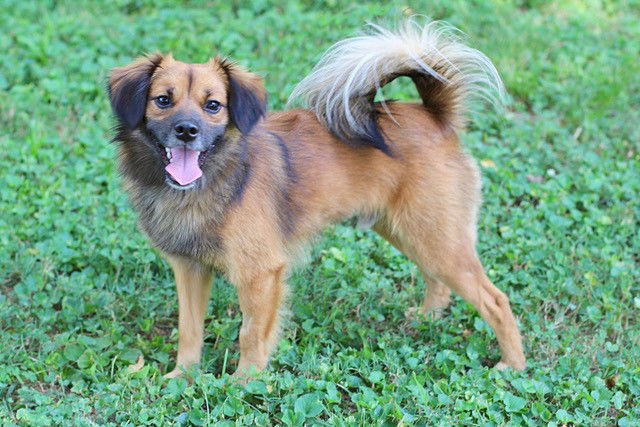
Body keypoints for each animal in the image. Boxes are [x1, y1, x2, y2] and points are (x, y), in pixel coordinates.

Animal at [106, 18, 524, 380]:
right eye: (163, 100)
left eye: (213, 106)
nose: (186, 131)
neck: (213, 178)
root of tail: (435, 116)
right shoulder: (189, 269)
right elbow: (189, 329)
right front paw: (183, 376)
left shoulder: (261, 275)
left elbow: (250, 333)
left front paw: (243, 383)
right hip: (413, 232)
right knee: (437, 280)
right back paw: (427, 318)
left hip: (437, 238)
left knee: (496, 300)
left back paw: (513, 366)